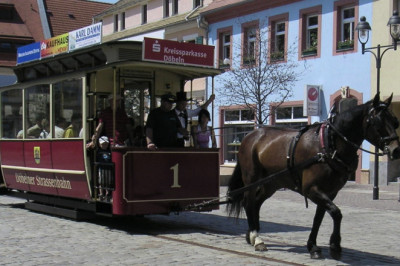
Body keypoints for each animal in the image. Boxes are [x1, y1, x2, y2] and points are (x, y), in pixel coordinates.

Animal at [228, 92, 400, 258]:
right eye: (378, 121)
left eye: (395, 121)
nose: (396, 150)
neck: (329, 145)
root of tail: (250, 135)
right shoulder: (312, 189)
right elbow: (336, 213)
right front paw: (335, 246)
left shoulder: (329, 192)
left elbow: (319, 217)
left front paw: (313, 246)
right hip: (252, 179)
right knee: (249, 203)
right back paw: (256, 238)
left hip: (271, 183)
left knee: (256, 203)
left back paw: (251, 234)